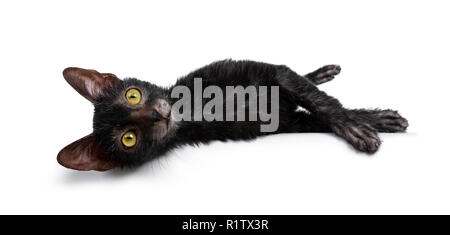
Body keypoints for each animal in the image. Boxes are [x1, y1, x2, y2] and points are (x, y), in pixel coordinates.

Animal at [56, 60, 408, 171]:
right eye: (128, 139)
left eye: (133, 95)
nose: (157, 115)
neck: (195, 109)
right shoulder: (286, 122)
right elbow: (321, 115)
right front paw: (370, 124)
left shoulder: (275, 74)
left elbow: (324, 103)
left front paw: (367, 124)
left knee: (307, 81)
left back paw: (322, 73)